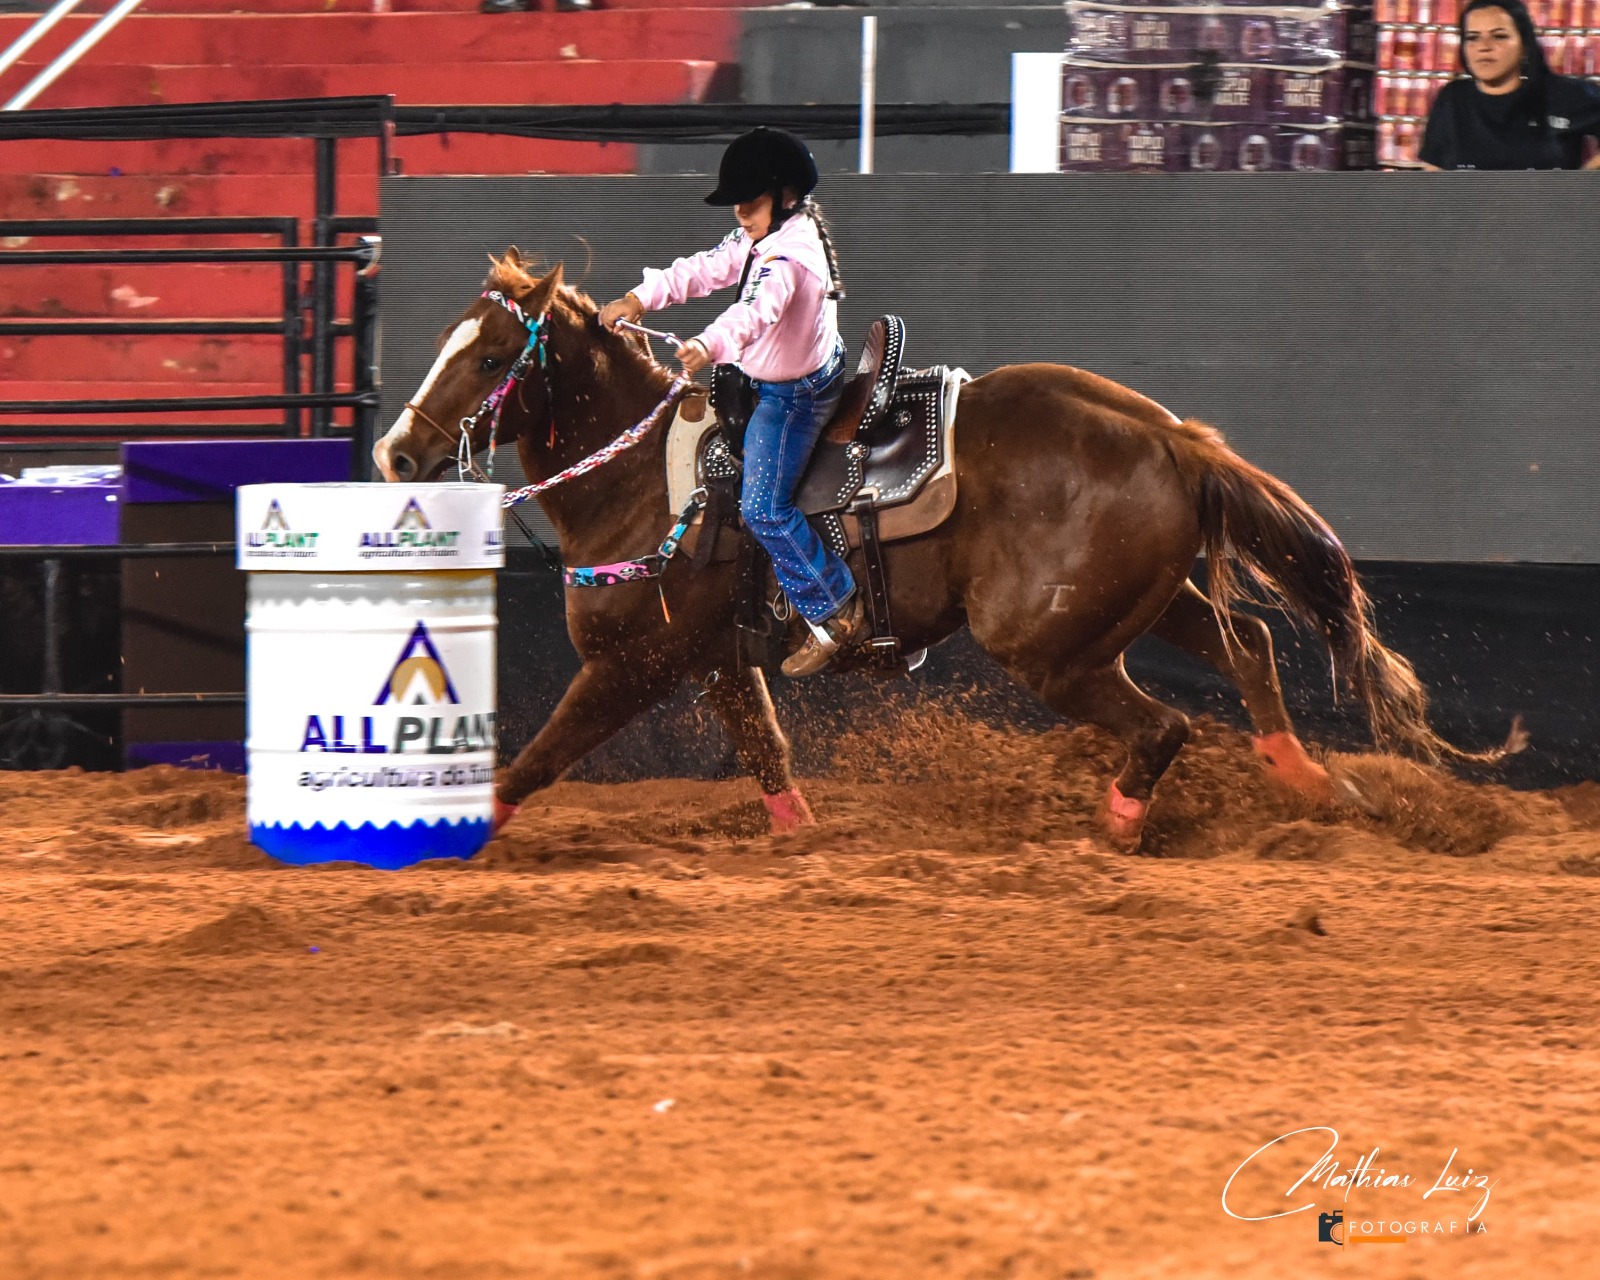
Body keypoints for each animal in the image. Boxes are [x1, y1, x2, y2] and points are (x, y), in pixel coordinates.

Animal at [371, 249, 1497, 851]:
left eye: (487, 356)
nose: (394, 452)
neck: (648, 480)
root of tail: (1168, 434)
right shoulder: (719, 660)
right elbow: (767, 754)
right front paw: (805, 842)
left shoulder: (631, 663)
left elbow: (541, 754)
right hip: (1138, 599)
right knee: (1249, 648)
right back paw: (1309, 785)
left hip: (1050, 647)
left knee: (1166, 723)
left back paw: (1116, 831)